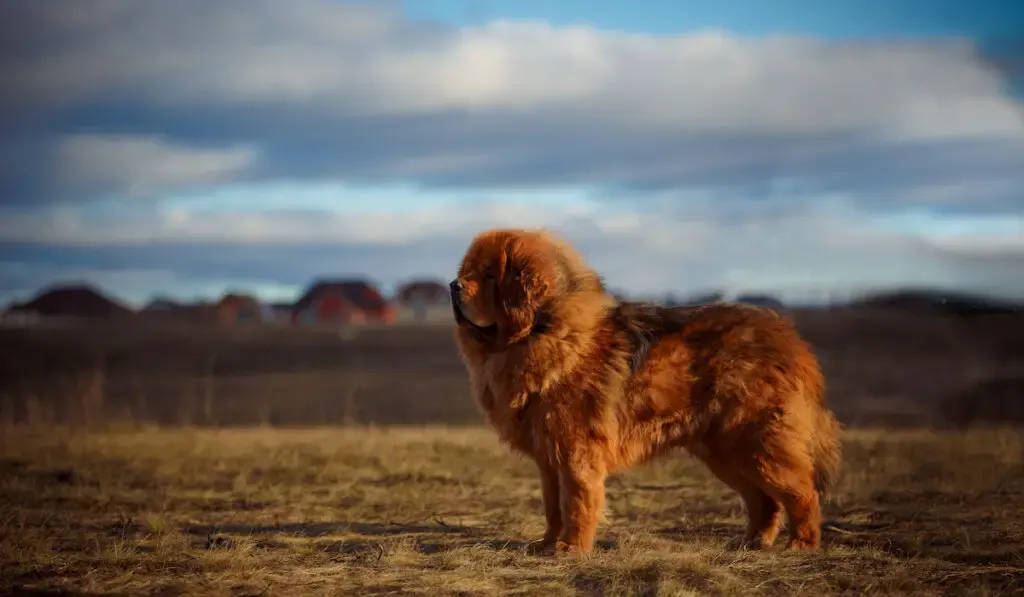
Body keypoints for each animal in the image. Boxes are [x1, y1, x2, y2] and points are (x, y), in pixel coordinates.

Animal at [452, 230, 843, 557]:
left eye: (489, 275)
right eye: (467, 270)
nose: (454, 285)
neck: (543, 329)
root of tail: (790, 338)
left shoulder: (576, 452)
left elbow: (577, 502)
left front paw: (571, 549)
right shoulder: (549, 457)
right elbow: (553, 507)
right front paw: (548, 544)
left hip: (755, 443)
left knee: (802, 493)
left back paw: (801, 544)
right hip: (724, 452)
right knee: (764, 501)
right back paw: (752, 542)